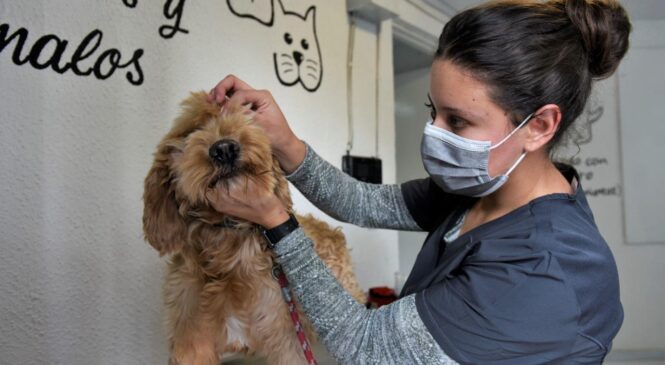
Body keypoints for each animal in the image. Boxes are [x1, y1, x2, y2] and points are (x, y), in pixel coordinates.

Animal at [142, 91, 366, 364]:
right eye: (193, 129)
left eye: (245, 117)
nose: (224, 148)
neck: (227, 247)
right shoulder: (191, 341)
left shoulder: (286, 340)